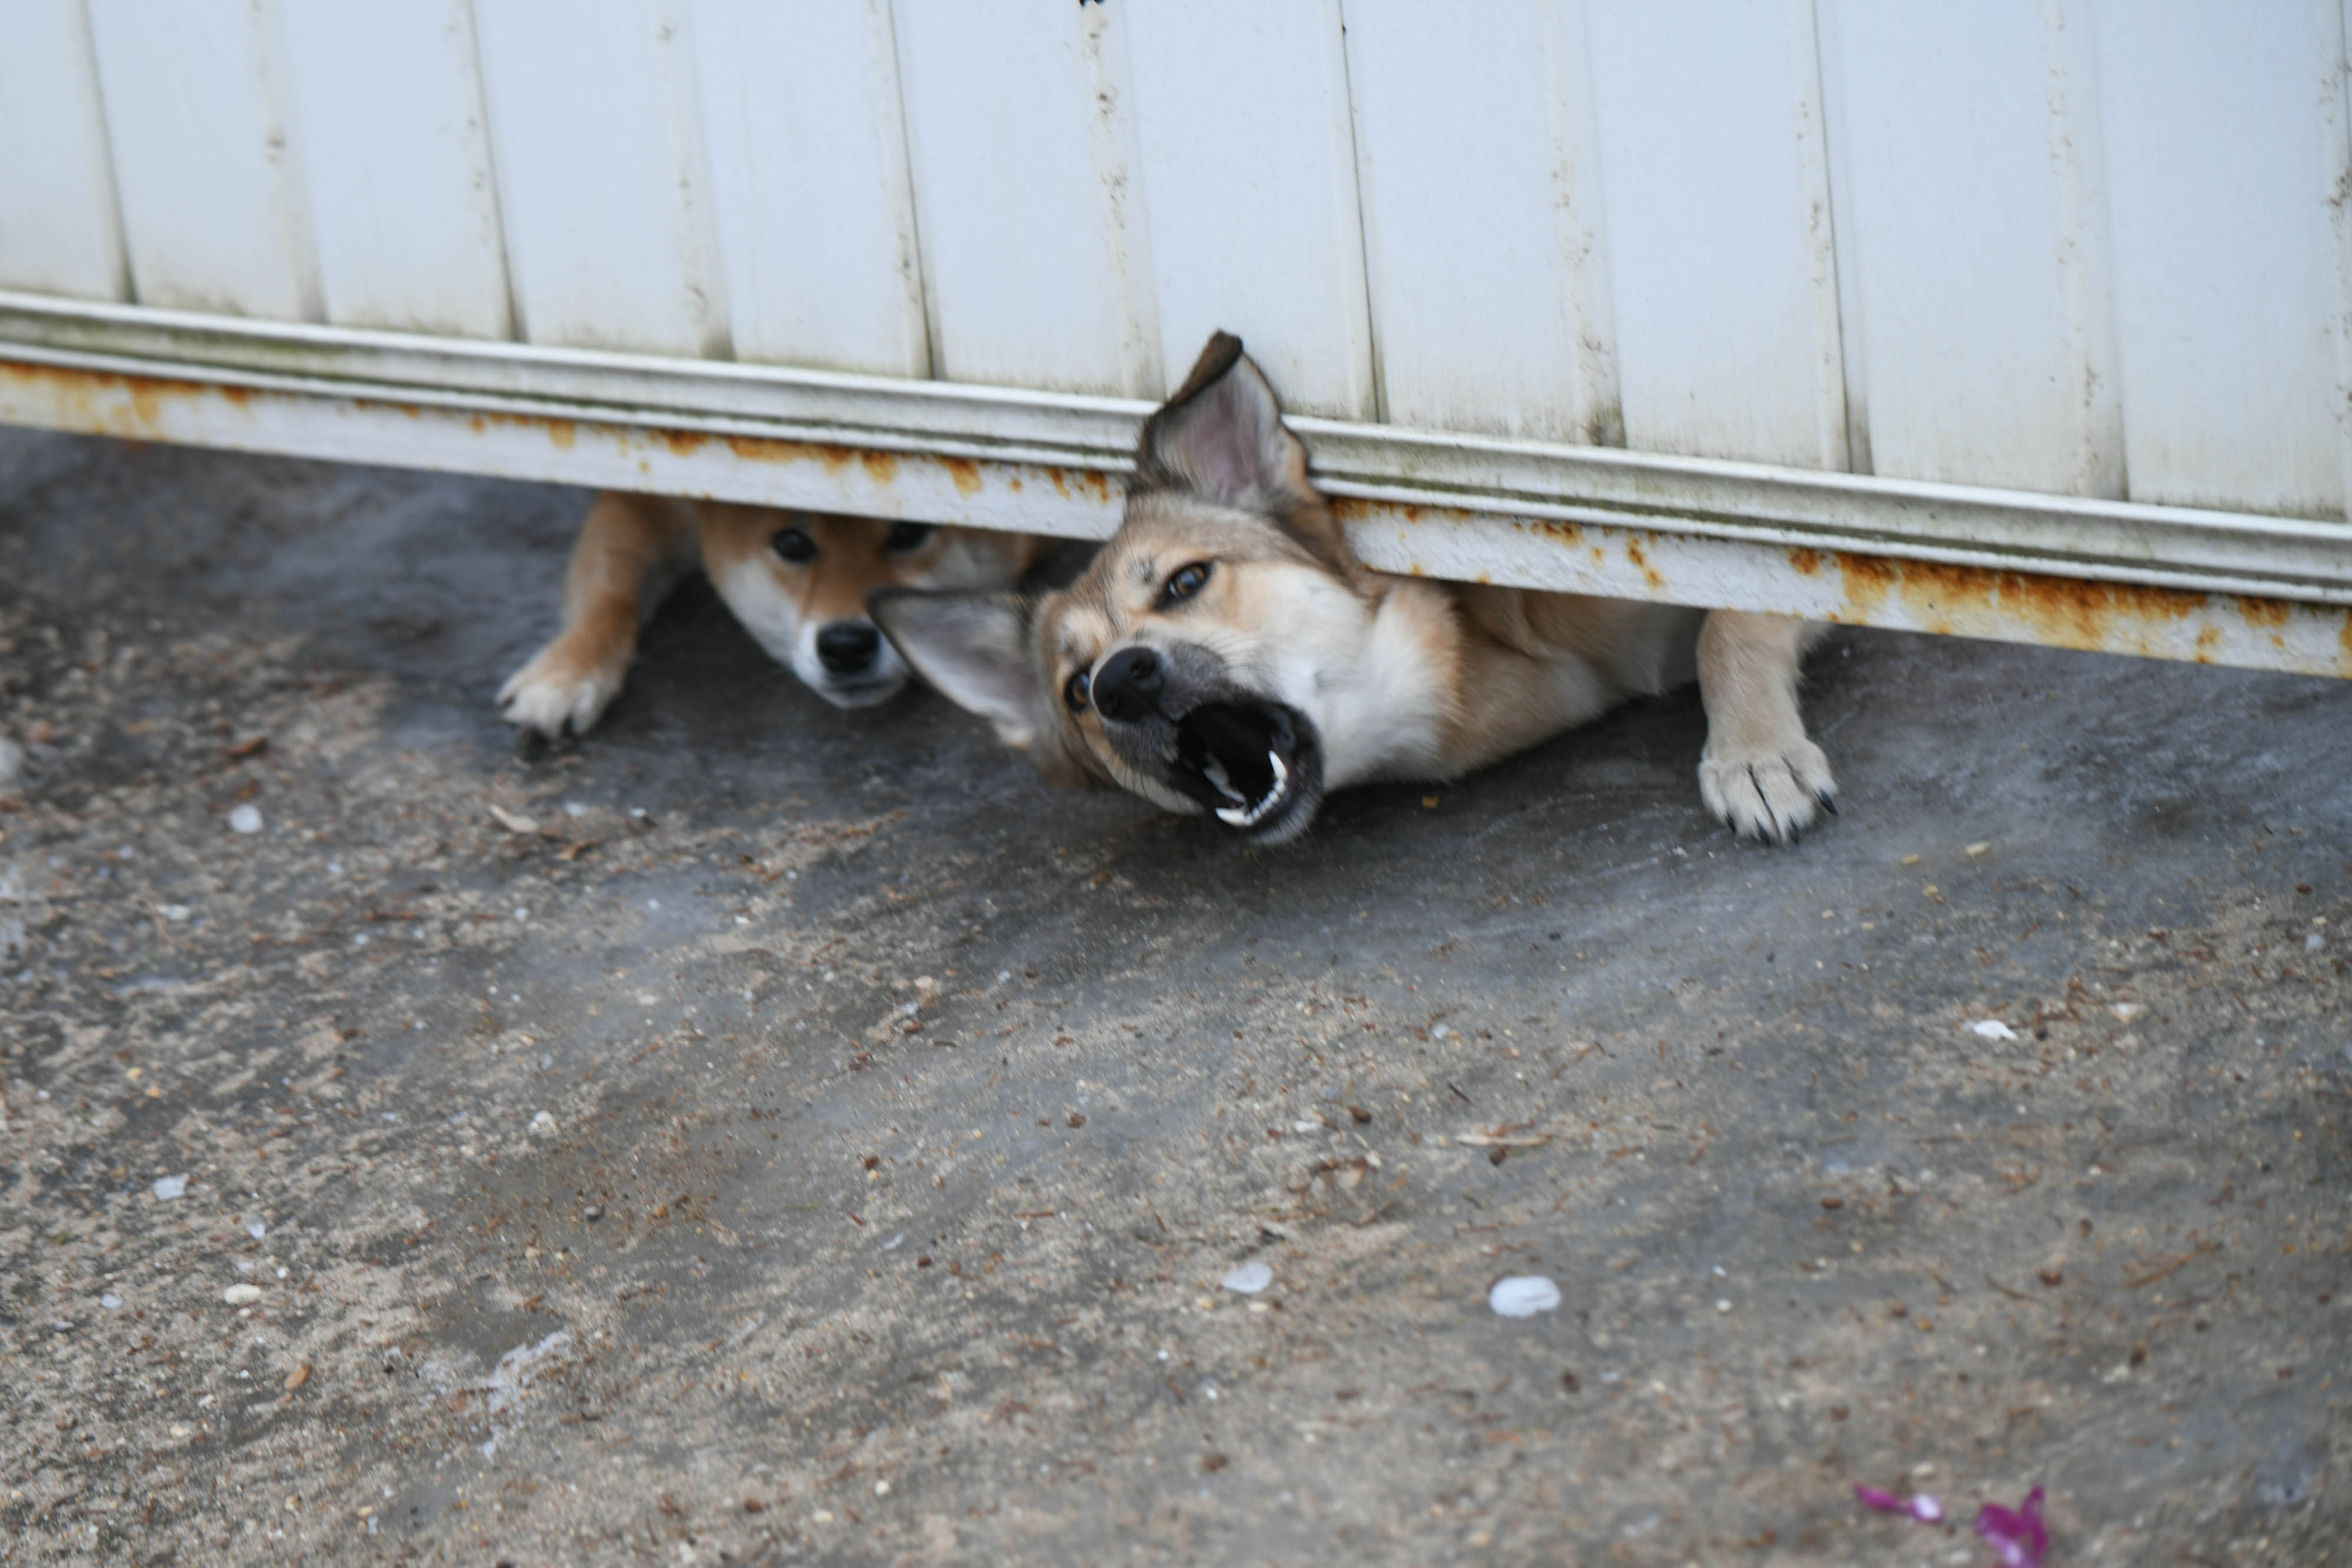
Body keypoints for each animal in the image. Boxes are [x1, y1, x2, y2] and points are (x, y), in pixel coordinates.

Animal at [503, 491, 1049, 738]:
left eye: (909, 533)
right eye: (792, 542)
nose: (846, 647)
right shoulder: (644, 498)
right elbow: (610, 595)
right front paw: (567, 672)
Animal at [875, 333, 1844, 846]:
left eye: (1187, 581)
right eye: (1075, 690)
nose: (1121, 681)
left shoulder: (1748, 552)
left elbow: (1732, 626)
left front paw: (1755, 756)